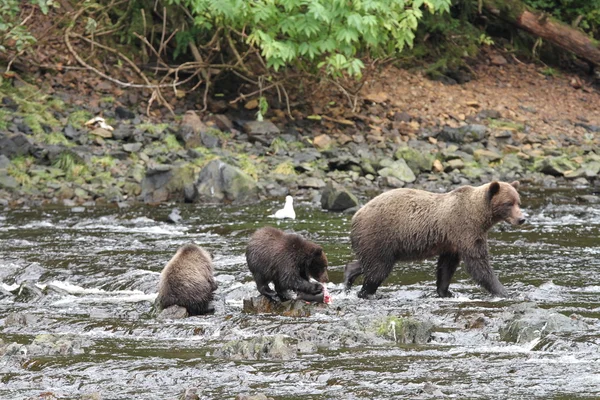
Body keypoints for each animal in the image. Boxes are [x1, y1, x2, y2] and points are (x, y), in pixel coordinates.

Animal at [346, 181, 524, 296]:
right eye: (508, 203)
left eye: (518, 202)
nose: (521, 219)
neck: (480, 217)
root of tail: (356, 216)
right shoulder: (464, 229)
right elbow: (478, 263)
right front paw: (504, 291)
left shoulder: (451, 241)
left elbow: (446, 266)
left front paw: (445, 291)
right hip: (380, 235)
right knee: (379, 268)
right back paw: (367, 292)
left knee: (369, 263)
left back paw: (349, 278)